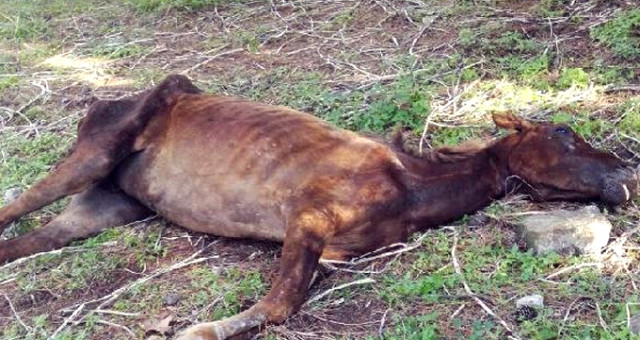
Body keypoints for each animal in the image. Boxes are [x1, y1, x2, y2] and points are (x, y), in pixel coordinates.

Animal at [0, 75, 636, 340]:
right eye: (564, 131)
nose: (626, 172)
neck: (411, 184)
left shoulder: (330, 252)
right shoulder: (305, 220)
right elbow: (279, 304)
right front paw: (198, 332)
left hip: (108, 204)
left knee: (29, 239)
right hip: (93, 155)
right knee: (17, 206)